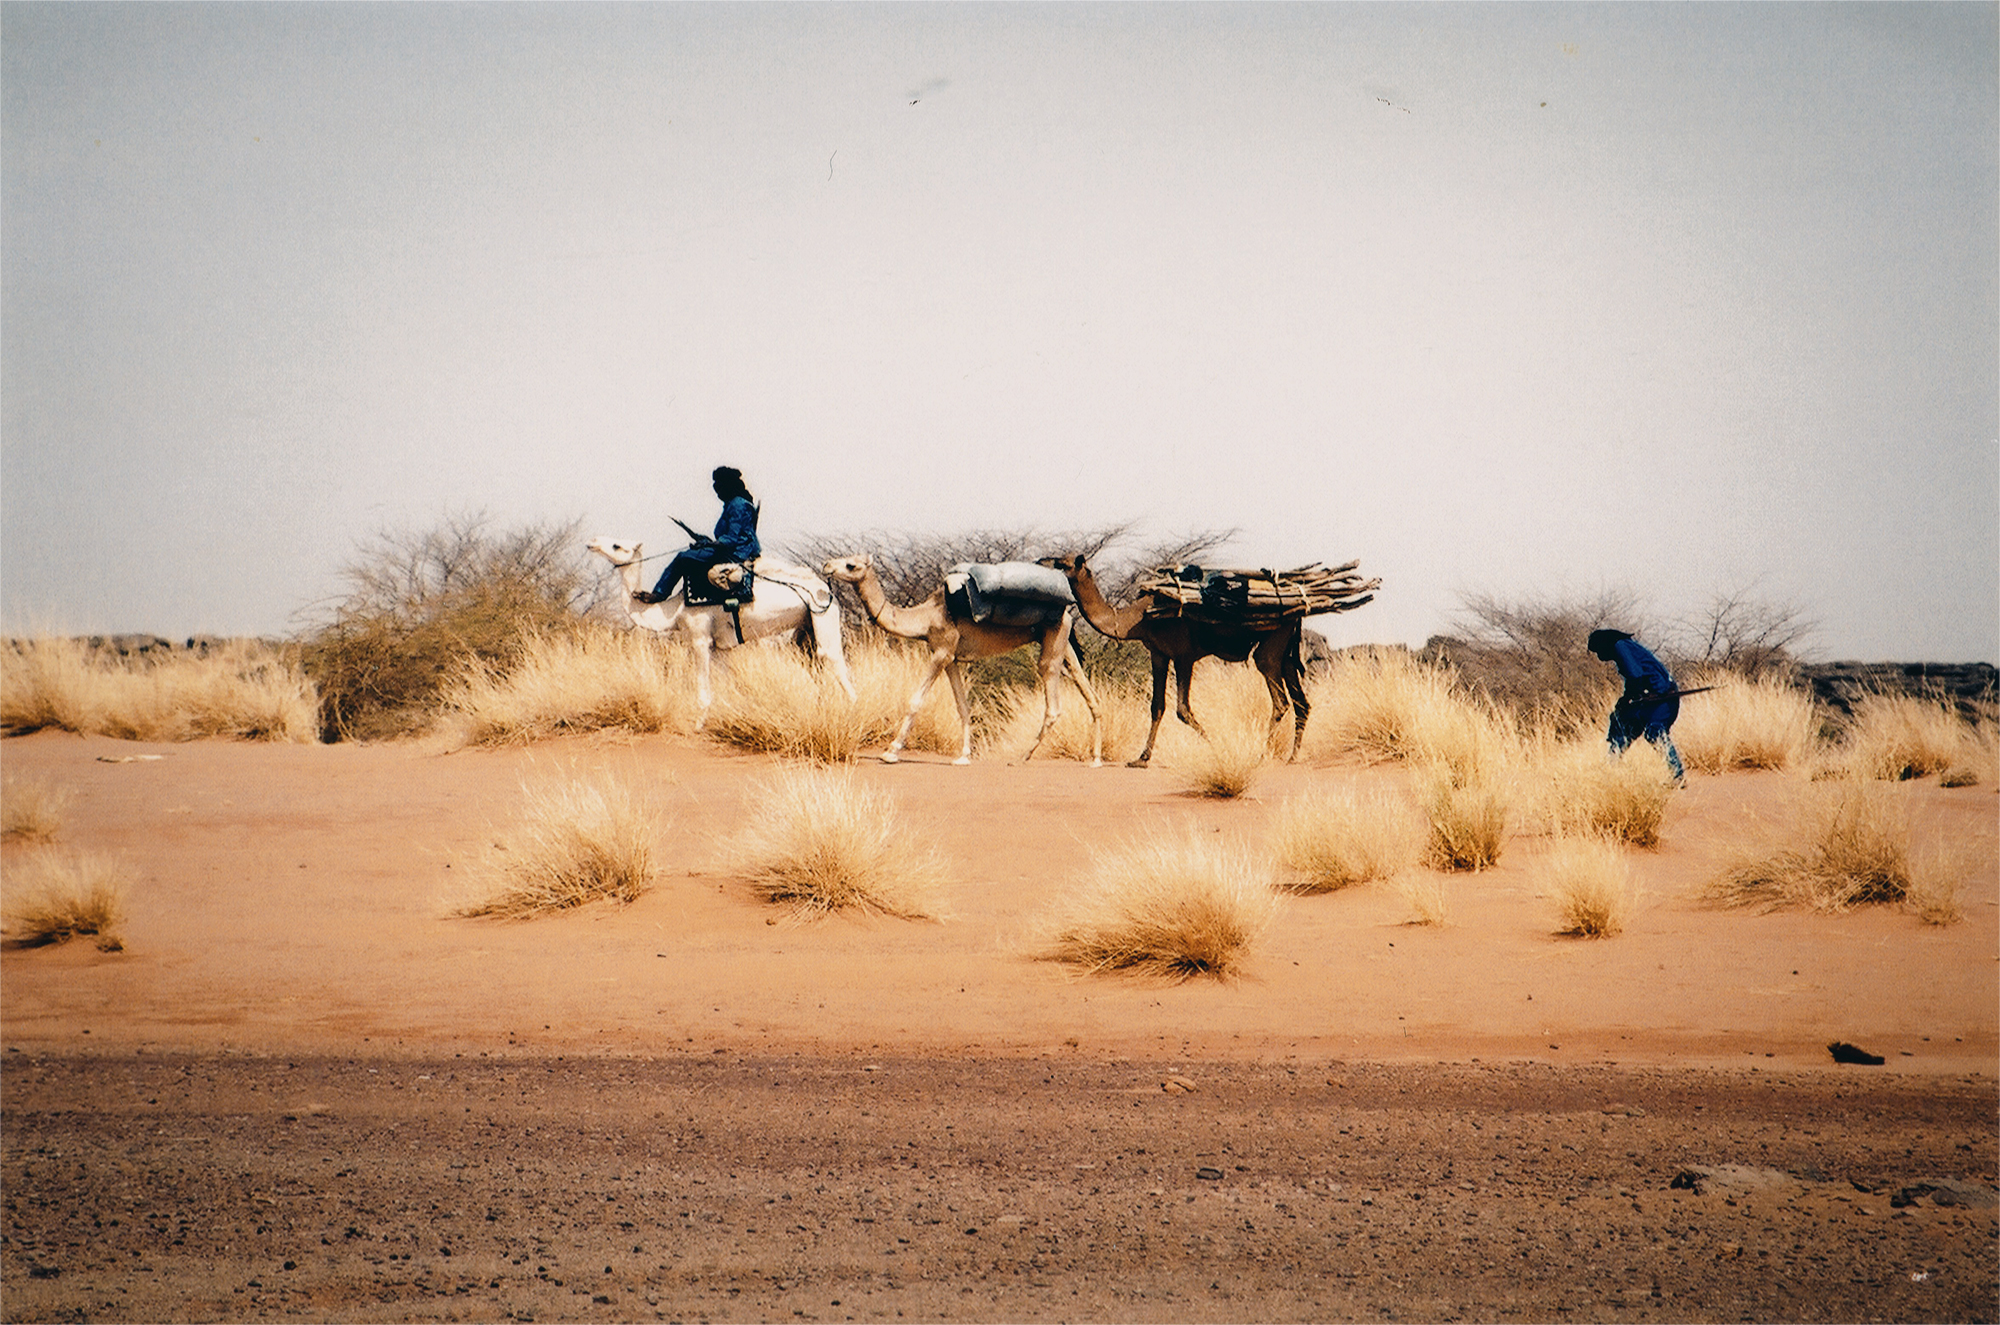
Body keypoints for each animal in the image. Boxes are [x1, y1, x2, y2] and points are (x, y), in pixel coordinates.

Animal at [584, 536, 852, 732]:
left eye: (617, 545)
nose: (592, 542)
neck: (673, 609)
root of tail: (826, 588)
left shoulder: (700, 638)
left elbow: (704, 690)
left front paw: (697, 727)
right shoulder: (721, 647)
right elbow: (730, 684)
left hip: (823, 616)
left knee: (834, 660)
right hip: (806, 629)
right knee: (816, 664)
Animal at [816, 556, 1112, 768]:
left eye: (851, 564)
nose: (827, 565)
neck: (924, 618)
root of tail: (1068, 610)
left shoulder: (942, 651)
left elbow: (915, 700)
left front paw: (890, 752)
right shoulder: (951, 658)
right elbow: (963, 706)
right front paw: (963, 756)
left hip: (1053, 640)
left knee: (1052, 699)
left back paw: (1022, 757)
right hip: (1061, 639)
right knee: (1087, 689)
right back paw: (1096, 759)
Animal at [1040, 556, 1320, 768]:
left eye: (1061, 563)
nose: (1041, 562)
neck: (1135, 618)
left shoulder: (1184, 655)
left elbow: (1182, 710)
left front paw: (1213, 746)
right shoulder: (1158, 654)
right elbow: (1157, 706)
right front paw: (1141, 758)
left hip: (1273, 640)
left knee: (1280, 699)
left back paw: (1263, 755)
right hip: (1286, 650)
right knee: (1301, 702)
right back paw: (1293, 756)